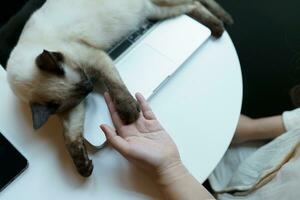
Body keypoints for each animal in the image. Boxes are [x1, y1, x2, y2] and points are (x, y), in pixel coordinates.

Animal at [6, 0, 232, 177]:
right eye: (84, 92)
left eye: (85, 77)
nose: (91, 87)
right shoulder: (73, 108)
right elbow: (70, 136)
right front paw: (83, 166)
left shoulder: (95, 59)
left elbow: (115, 86)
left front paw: (129, 113)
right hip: (158, 10)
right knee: (192, 6)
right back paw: (218, 25)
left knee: (198, 1)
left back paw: (223, 22)